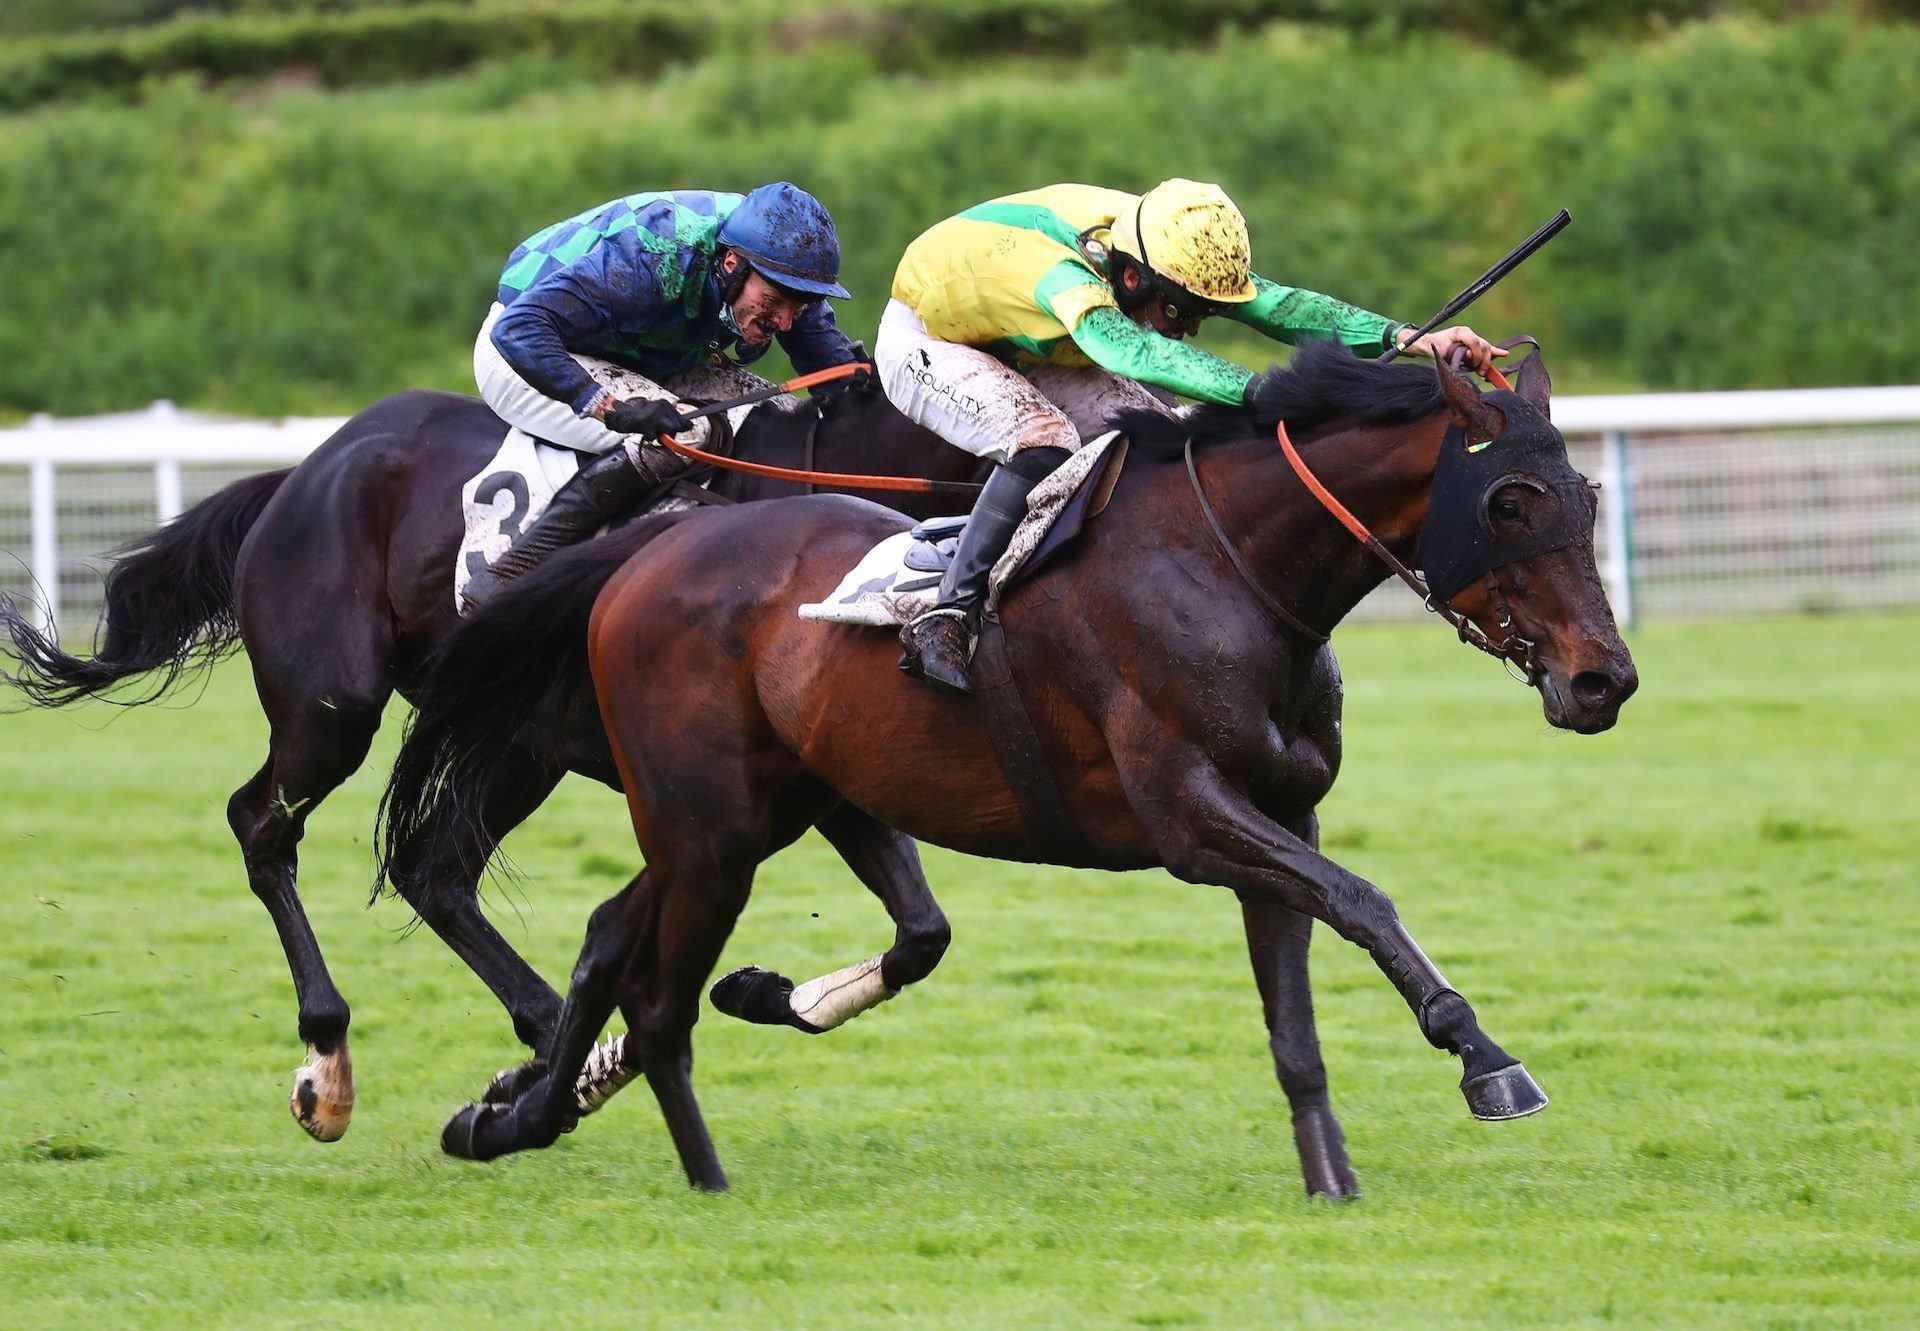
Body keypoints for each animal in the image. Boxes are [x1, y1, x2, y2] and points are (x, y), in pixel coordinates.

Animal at [0, 378, 983, 1137]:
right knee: (264, 825)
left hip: (516, 743)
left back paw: (554, 1048)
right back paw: (331, 1057)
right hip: (333, 710)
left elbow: (924, 930)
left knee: (433, 870)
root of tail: (306, 471)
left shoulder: (820, 775)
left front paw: (771, 994)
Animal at [382, 341, 1643, 1190]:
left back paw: (519, 1112)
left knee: (612, 936)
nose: (1605, 681)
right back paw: (693, 1168)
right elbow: (1368, 900)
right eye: (1511, 497)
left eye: (1584, 494)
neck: (1227, 564)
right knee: (653, 993)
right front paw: (1484, 1054)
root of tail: (654, 544)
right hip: (711, 825)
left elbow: (1298, 1008)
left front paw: (1330, 1175)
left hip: (752, 812)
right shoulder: (1193, 815)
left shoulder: (1278, 816)